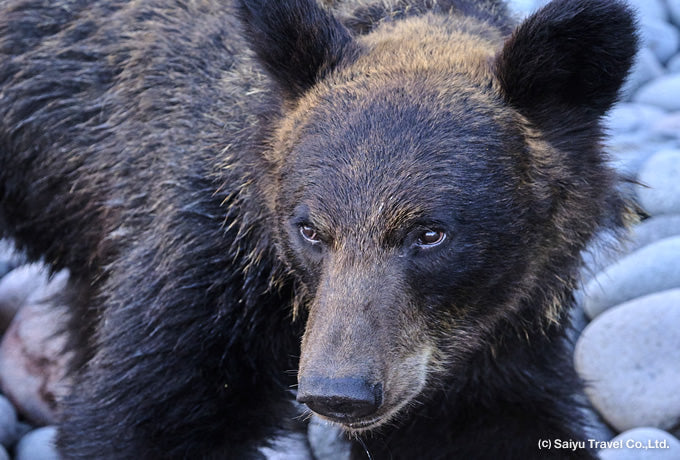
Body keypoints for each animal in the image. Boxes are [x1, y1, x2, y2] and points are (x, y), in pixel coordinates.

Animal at [0, 0, 637, 458]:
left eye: (430, 234)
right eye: (309, 229)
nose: (340, 391)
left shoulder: (502, 328)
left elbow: (487, 425)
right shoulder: (209, 264)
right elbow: (143, 415)